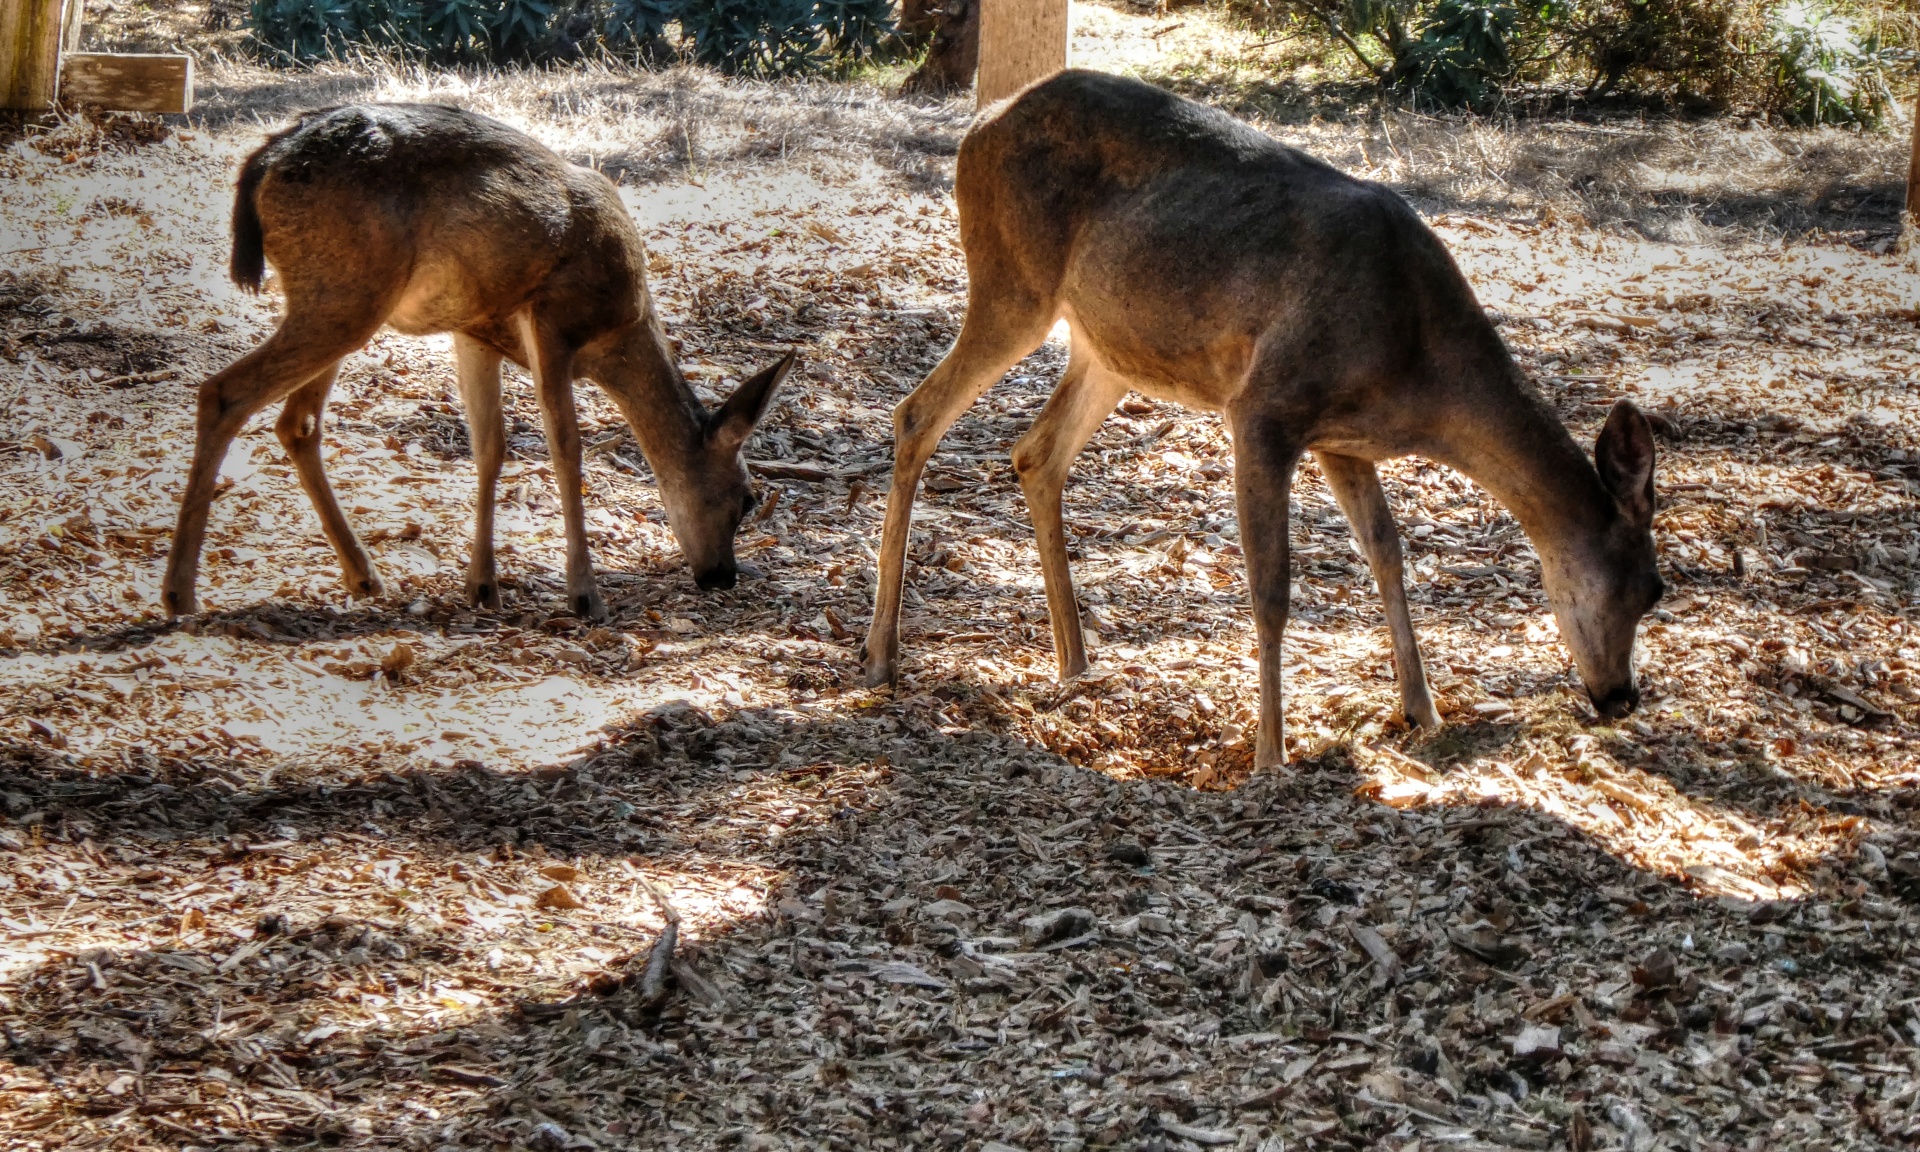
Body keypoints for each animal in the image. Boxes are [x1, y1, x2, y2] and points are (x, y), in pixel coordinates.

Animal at [161, 104, 791, 625]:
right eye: (746, 498)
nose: (722, 577)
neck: (619, 331)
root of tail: (263, 162)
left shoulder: (476, 329)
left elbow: (490, 446)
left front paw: (482, 586)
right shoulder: (552, 316)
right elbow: (566, 450)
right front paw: (584, 595)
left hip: (340, 297)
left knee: (297, 421)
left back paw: (364, 577)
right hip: (344, 292)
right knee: (223, 393)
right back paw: (179, 593)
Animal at [860, 74, 1666, 775]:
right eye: (1650, 589)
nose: (1621, 699)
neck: (1420, 373)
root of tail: (979, 125)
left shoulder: (1342, 439)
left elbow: (1387, 552)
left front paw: (1422, 710)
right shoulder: (1265, 406)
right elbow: (1271, 586)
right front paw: (1270, 755)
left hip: (1110, 346)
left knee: (1036, 450)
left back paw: (1076, 662)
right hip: (1013, 281)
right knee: (916, 414)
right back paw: (879, 656)